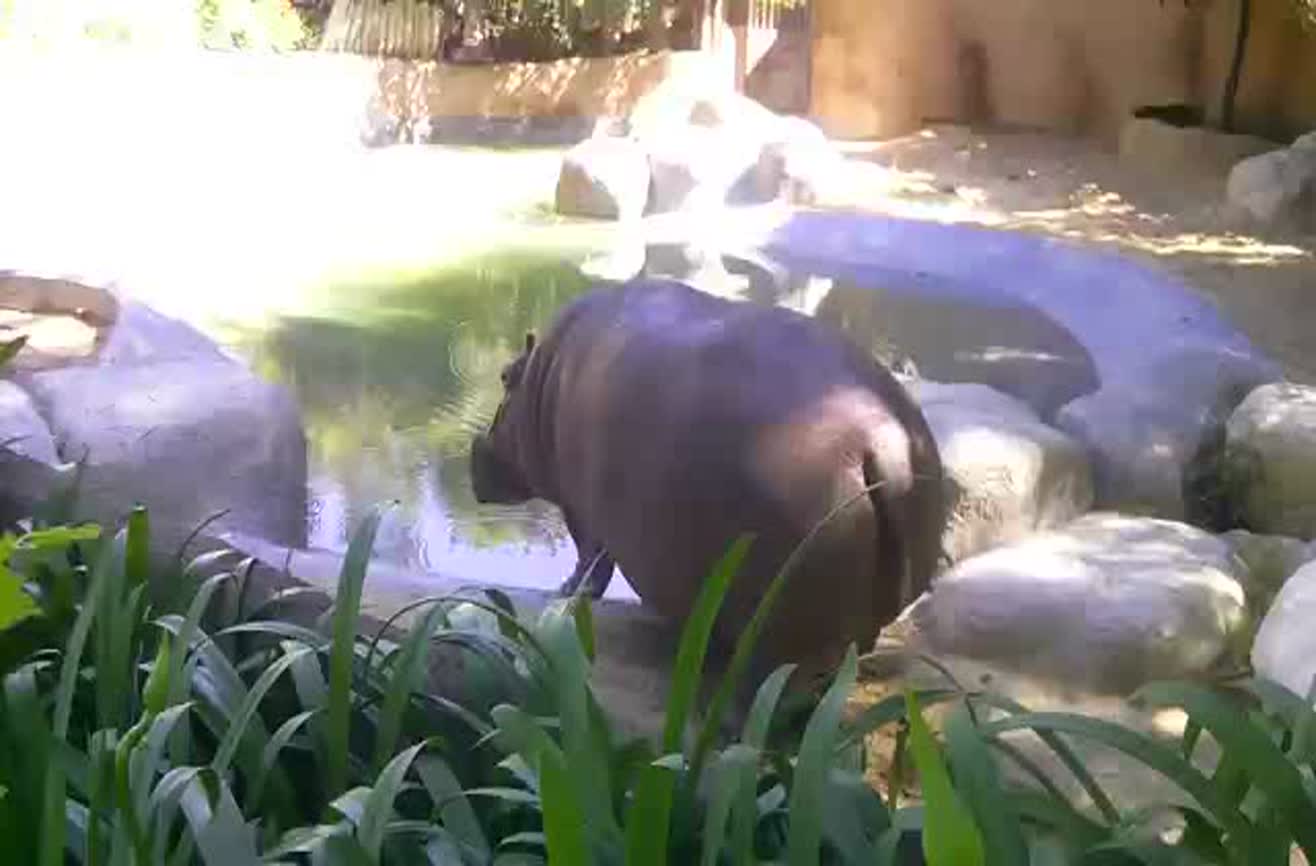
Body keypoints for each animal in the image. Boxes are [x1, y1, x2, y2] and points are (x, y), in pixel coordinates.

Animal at [470, 278, 945, 688]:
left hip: (783, 629)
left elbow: (591, 560)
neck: (541, 375)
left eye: (504, 377)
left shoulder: (579, 508)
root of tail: (882, 439)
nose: (475, 454)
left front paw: (566, 593)